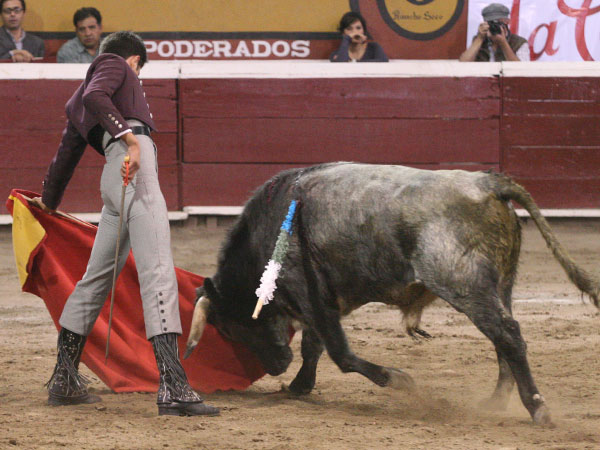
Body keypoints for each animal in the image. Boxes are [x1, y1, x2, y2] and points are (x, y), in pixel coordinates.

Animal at [185, 163, 596, 426]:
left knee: (507, 335)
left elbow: (340, 353)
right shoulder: (320, 297)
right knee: (504, 338)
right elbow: (314, 346)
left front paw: (400, 380)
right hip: (500, 283)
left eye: (233, 327)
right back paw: (496, 402)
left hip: (464, 284)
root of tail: (488, 185)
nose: (274, 368)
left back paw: (537, 408)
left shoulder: (310, 293)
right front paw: (300, 386)